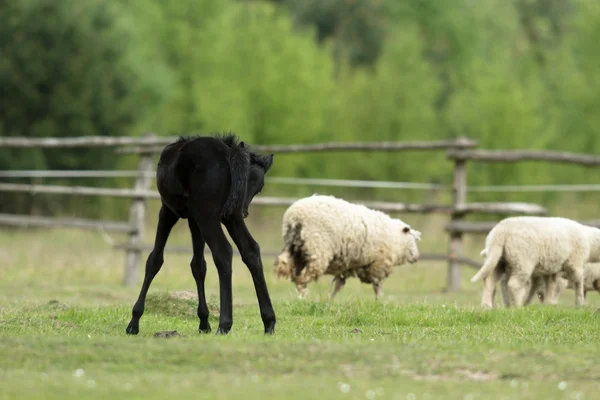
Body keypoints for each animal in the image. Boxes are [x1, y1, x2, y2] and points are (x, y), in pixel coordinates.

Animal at [274, 194, 422, 300]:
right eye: (413, 240)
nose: (417, 257)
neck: (395, 238)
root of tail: (295, 216)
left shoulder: (347, 267)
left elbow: (338, 286)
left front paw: (330, 301)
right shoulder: (378, 266)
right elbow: (377, 287)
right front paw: (379, 303)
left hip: (294, 248)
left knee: (287, 267)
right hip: (317, 249)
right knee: (302, 278)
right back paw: (304, 296)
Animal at [472, 217, 600, 308]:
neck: (590, 242)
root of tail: (501, 231)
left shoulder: (551, 268)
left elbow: (551, 285)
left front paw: (548, 304)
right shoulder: (575, 263)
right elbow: (578, 282)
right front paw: (579, 303)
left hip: (499, 260)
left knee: (489, 281)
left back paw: (487, 306)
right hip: (522, 261)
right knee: (513, 284)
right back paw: (517, 307)